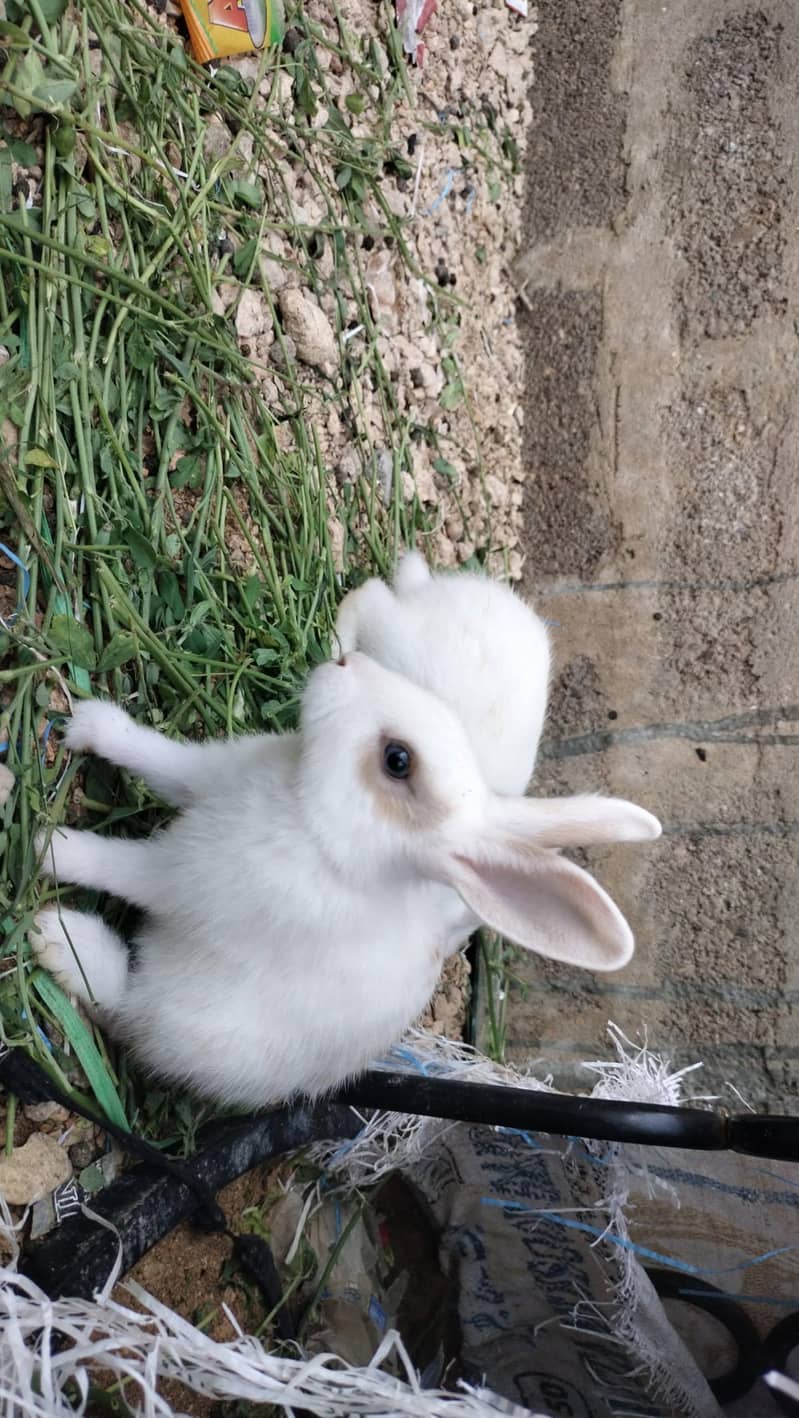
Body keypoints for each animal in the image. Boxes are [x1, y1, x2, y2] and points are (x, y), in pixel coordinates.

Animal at [31, 651, 660, 1111]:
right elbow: (156, 758)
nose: (345, 660)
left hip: (185, 1021)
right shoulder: (203, 779)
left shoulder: (180, 877)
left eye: (397, 760)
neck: (321, 825)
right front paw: (91, 726)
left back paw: (58, 937)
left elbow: (119, 866)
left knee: (125, 1006)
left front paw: (50, 847)